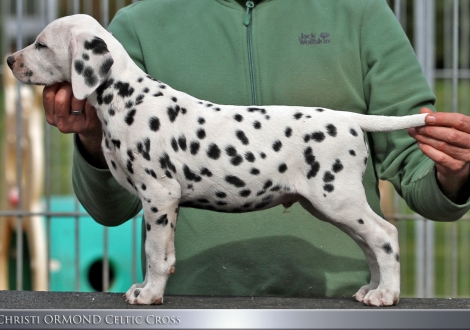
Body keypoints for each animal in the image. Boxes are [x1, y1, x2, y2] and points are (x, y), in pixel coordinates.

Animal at [6, 13, 430, 306]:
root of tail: (348, 119)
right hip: (332, 206)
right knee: (370, 244)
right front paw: (145, 288)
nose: (9, 60)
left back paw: (386, 294)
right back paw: (373, 288)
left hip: (337, 199)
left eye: (41, 45)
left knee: (385, 236)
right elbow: (157, 252)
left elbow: (156, 253)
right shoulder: (158, 202)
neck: (129, 99)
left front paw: (150, 294)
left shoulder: (160, 196)